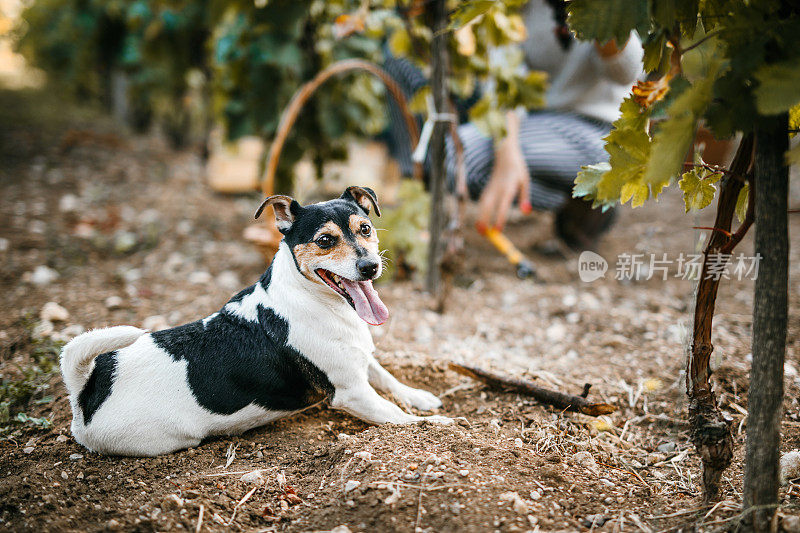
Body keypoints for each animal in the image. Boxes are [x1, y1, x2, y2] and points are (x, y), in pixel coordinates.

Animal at [61, 186, 450, 454]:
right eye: (325, 240)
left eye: (366, 229)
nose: (370, 266)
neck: (313, 300)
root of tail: (86, 393)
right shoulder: (353, 393)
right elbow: (400, 417)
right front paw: (440, 424)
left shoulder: (360, 359)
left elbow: (388, 377)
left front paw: (420, 397)